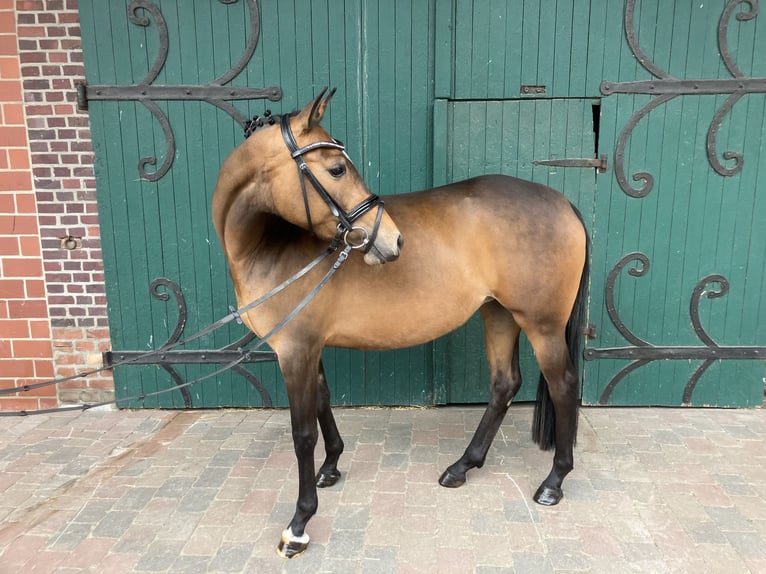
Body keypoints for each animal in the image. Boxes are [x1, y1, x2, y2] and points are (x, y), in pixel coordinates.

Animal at [212, 88, 589, 558]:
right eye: (336, 168)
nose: (392, 240)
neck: (267, 246)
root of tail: (562, 202)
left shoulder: (295, 350)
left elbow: (302, 434)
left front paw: (299, 524)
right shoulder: (309, 346)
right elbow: (322, 401)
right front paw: (331, 466)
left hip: (542, 325)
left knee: (564, 386)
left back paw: (554, 481)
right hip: (499, 313)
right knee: (505, 384)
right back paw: (462, 466)